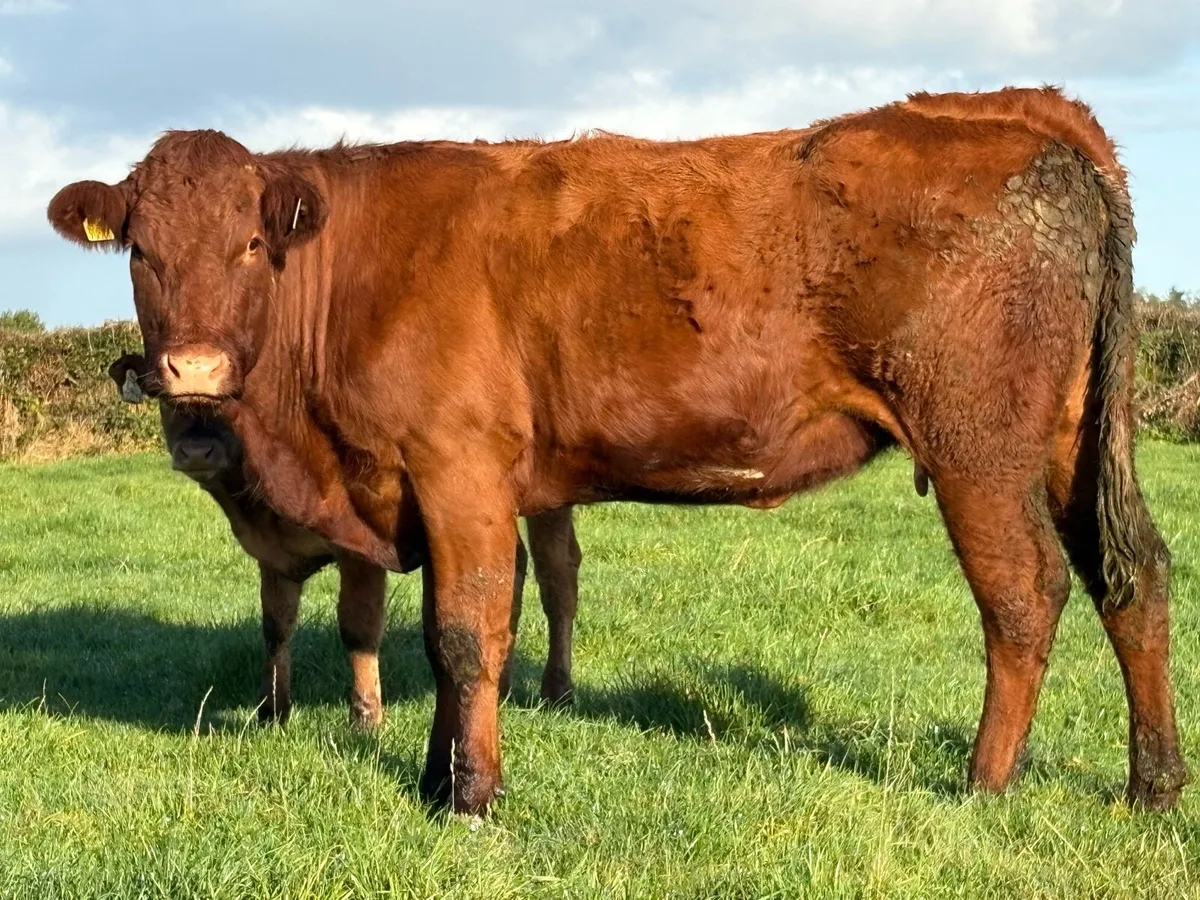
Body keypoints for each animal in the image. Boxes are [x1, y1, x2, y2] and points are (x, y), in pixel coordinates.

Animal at [106, 352, 583, 727]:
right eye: (162, 398)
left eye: (233, 400)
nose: (195, 451)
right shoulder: (270, 554)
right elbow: (276, 626)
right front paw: (272, 709)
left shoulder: (362, 552)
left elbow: (358, 627)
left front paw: (366, 716)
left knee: (557, 577)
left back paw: (557, 690)